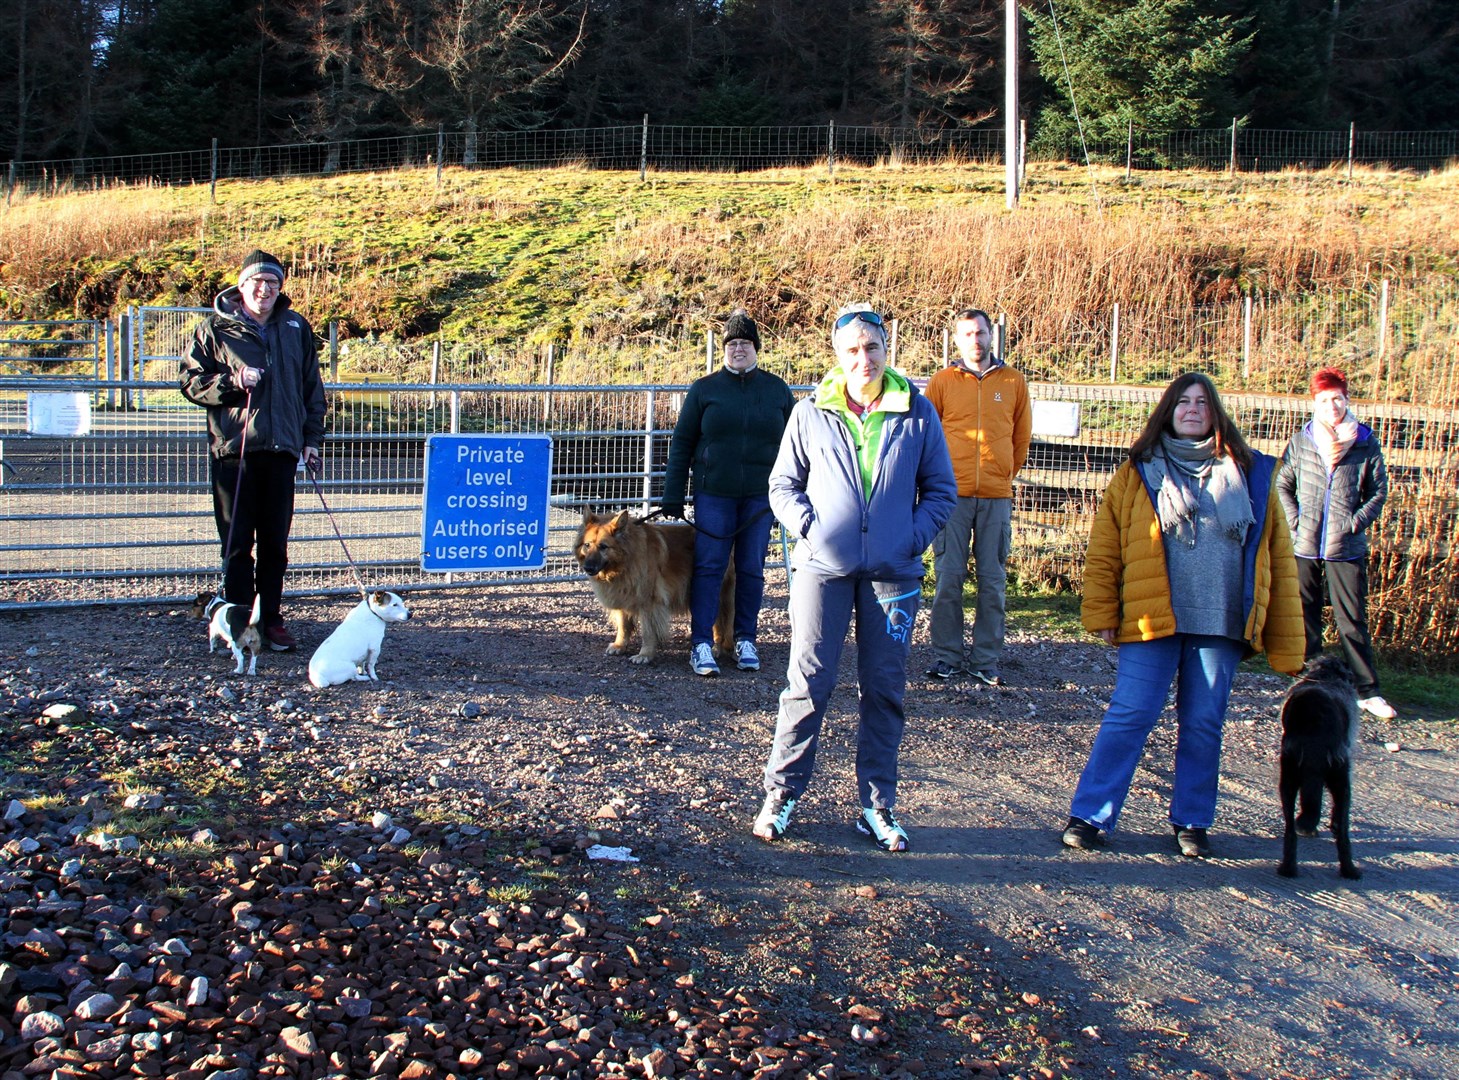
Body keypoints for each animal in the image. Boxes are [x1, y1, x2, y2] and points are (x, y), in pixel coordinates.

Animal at [574, 510, 735, 662]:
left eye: (603, 547)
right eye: (587, 545)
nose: (587, 568)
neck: (626, 560)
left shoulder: (649, 603)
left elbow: (648, 632)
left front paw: (645, 654)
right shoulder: (622, 597)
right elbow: (623, 626)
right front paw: (620, 645)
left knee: (719, 625)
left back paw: (715, 648)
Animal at [1278, 653, 1365, 881]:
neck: (1325, 674)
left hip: (1288, 776)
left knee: (1290, 830)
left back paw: (1287, 868)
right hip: (1342, 778)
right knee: (1342, 831)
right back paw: (1350, 870)